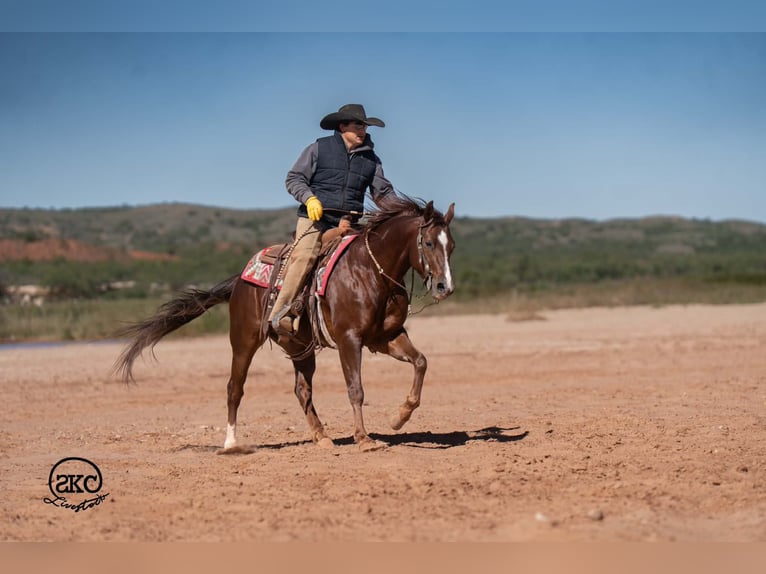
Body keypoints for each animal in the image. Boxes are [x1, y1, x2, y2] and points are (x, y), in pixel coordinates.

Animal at [113, 194, 456, 452]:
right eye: (427, 243)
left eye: (450, 245)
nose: (445, 287)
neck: (369, 271)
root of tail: (239, 279)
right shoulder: (350, 339)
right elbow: (356, 389)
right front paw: (364, 438)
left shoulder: (386, 337)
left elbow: (421, 362)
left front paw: (400, 416)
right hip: (244, 341)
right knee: (234, 387)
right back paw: (231, 443)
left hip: (299, 346)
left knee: (302, 389)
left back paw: (321, 437)